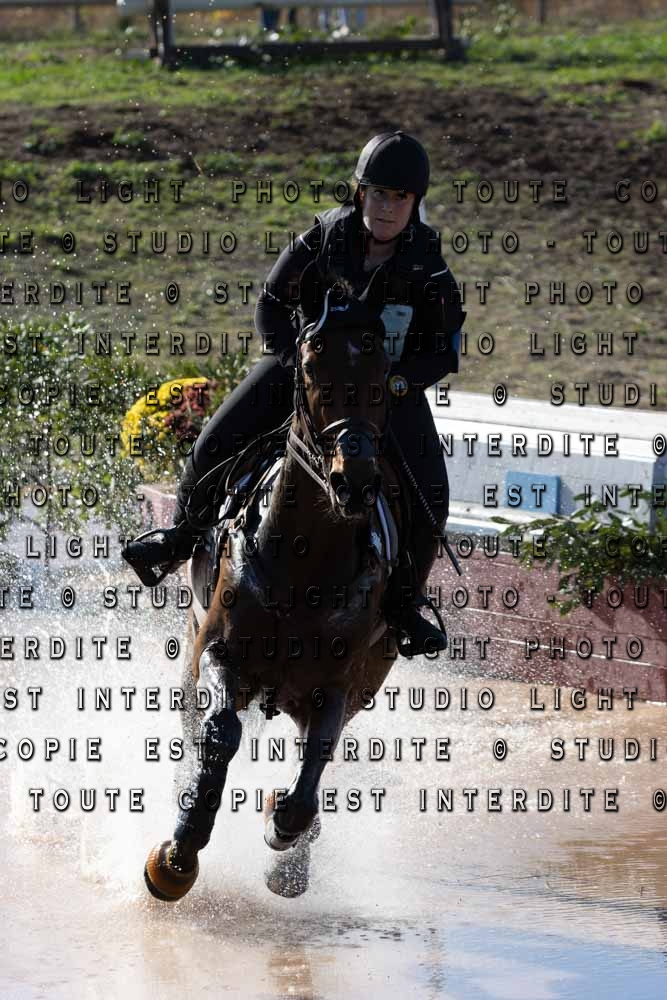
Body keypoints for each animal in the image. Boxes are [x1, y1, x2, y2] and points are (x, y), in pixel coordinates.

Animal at [143, 266, 429, 901]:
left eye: (384, 375)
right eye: (313, 366)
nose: (355, 481)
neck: (305, 564)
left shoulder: (338, 685)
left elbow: (311, 770)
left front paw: (284, 840)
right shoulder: (221, 649)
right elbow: (220, 733)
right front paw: (178, 854)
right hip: (193, 643)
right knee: (193, 724)